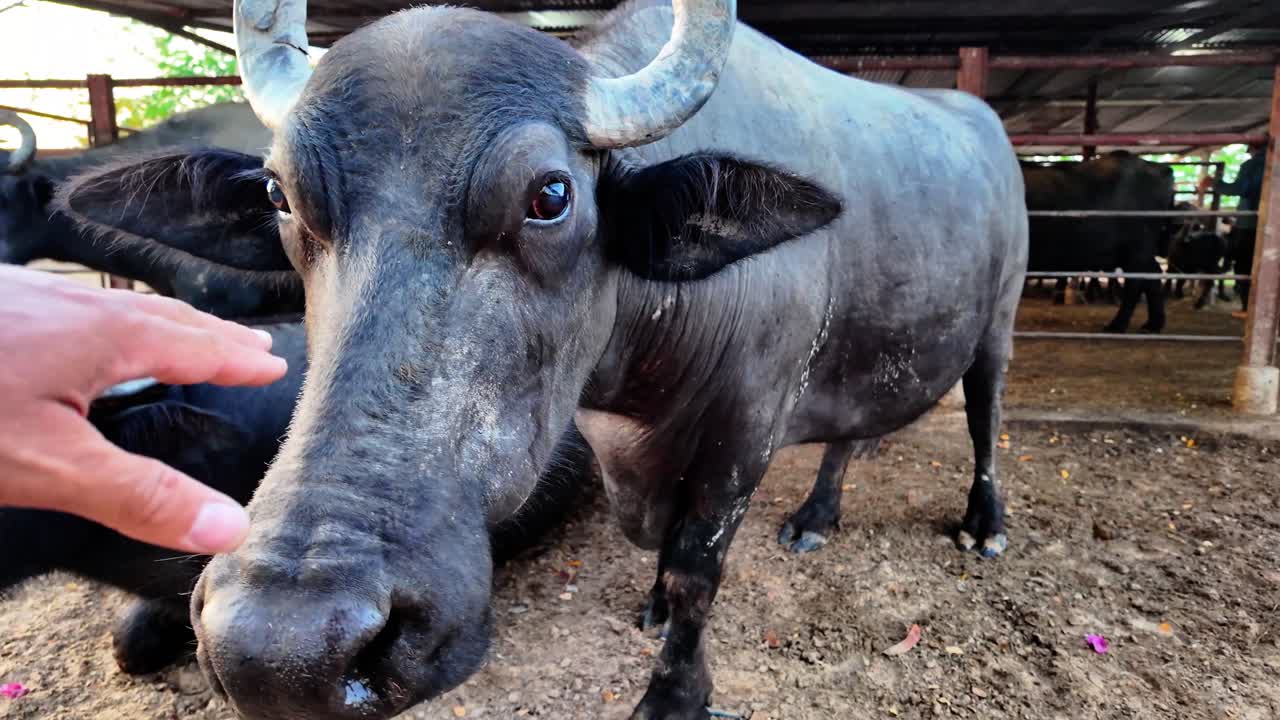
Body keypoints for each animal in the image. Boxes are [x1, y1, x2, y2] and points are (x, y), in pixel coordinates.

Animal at [58, 1, 1028, 718]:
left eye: (551, 195)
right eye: (277, 194)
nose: (285, 649)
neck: (640, 380)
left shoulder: (744, 433)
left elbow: (697, 568)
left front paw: (674, 691)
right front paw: (651, 605)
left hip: (1000, 322)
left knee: (983, 411)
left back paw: (984, 522)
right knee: (854, 429)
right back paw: (819, 513)